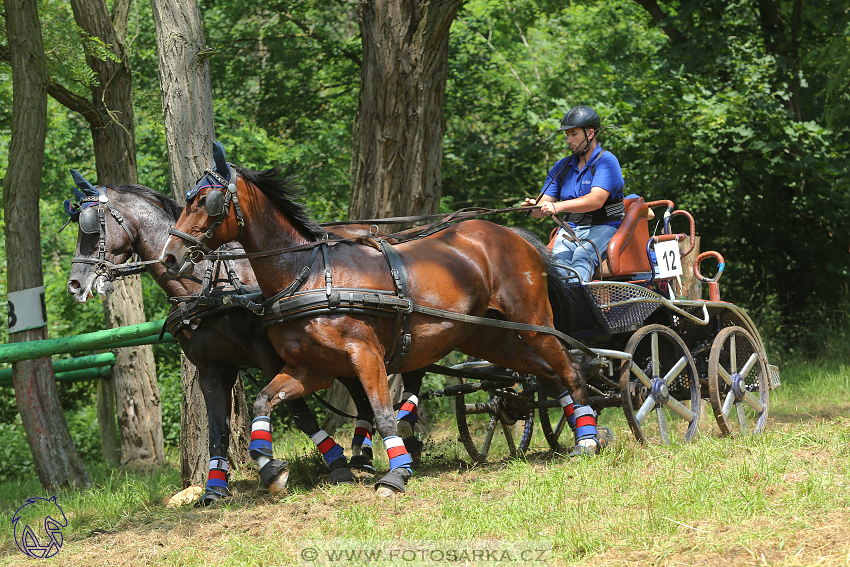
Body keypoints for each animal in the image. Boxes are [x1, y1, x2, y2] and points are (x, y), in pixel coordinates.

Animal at [63, 169, 424, 506]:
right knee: (366, 395)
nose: (75, 285)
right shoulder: (211, 370)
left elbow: (299, 412)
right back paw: (368, 453)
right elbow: (217, 429)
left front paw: (320, 465)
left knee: (404, 375)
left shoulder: (271, 356)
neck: (208, 285)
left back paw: (399, 434)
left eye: (91, 228)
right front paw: (214, 489)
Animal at [159, 143, 604, 496]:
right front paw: (270, 467)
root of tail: (512, 233)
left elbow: (381, 410)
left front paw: (396, 472)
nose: (169, 256)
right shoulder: (310, 368)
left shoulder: (364, 354)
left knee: (570, 368)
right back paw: (575, 428)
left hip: (531, 321)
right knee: (545, 373)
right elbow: (264, 400)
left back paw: (587, 440)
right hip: (492, 338)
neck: (308, 273)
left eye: (206, 201)